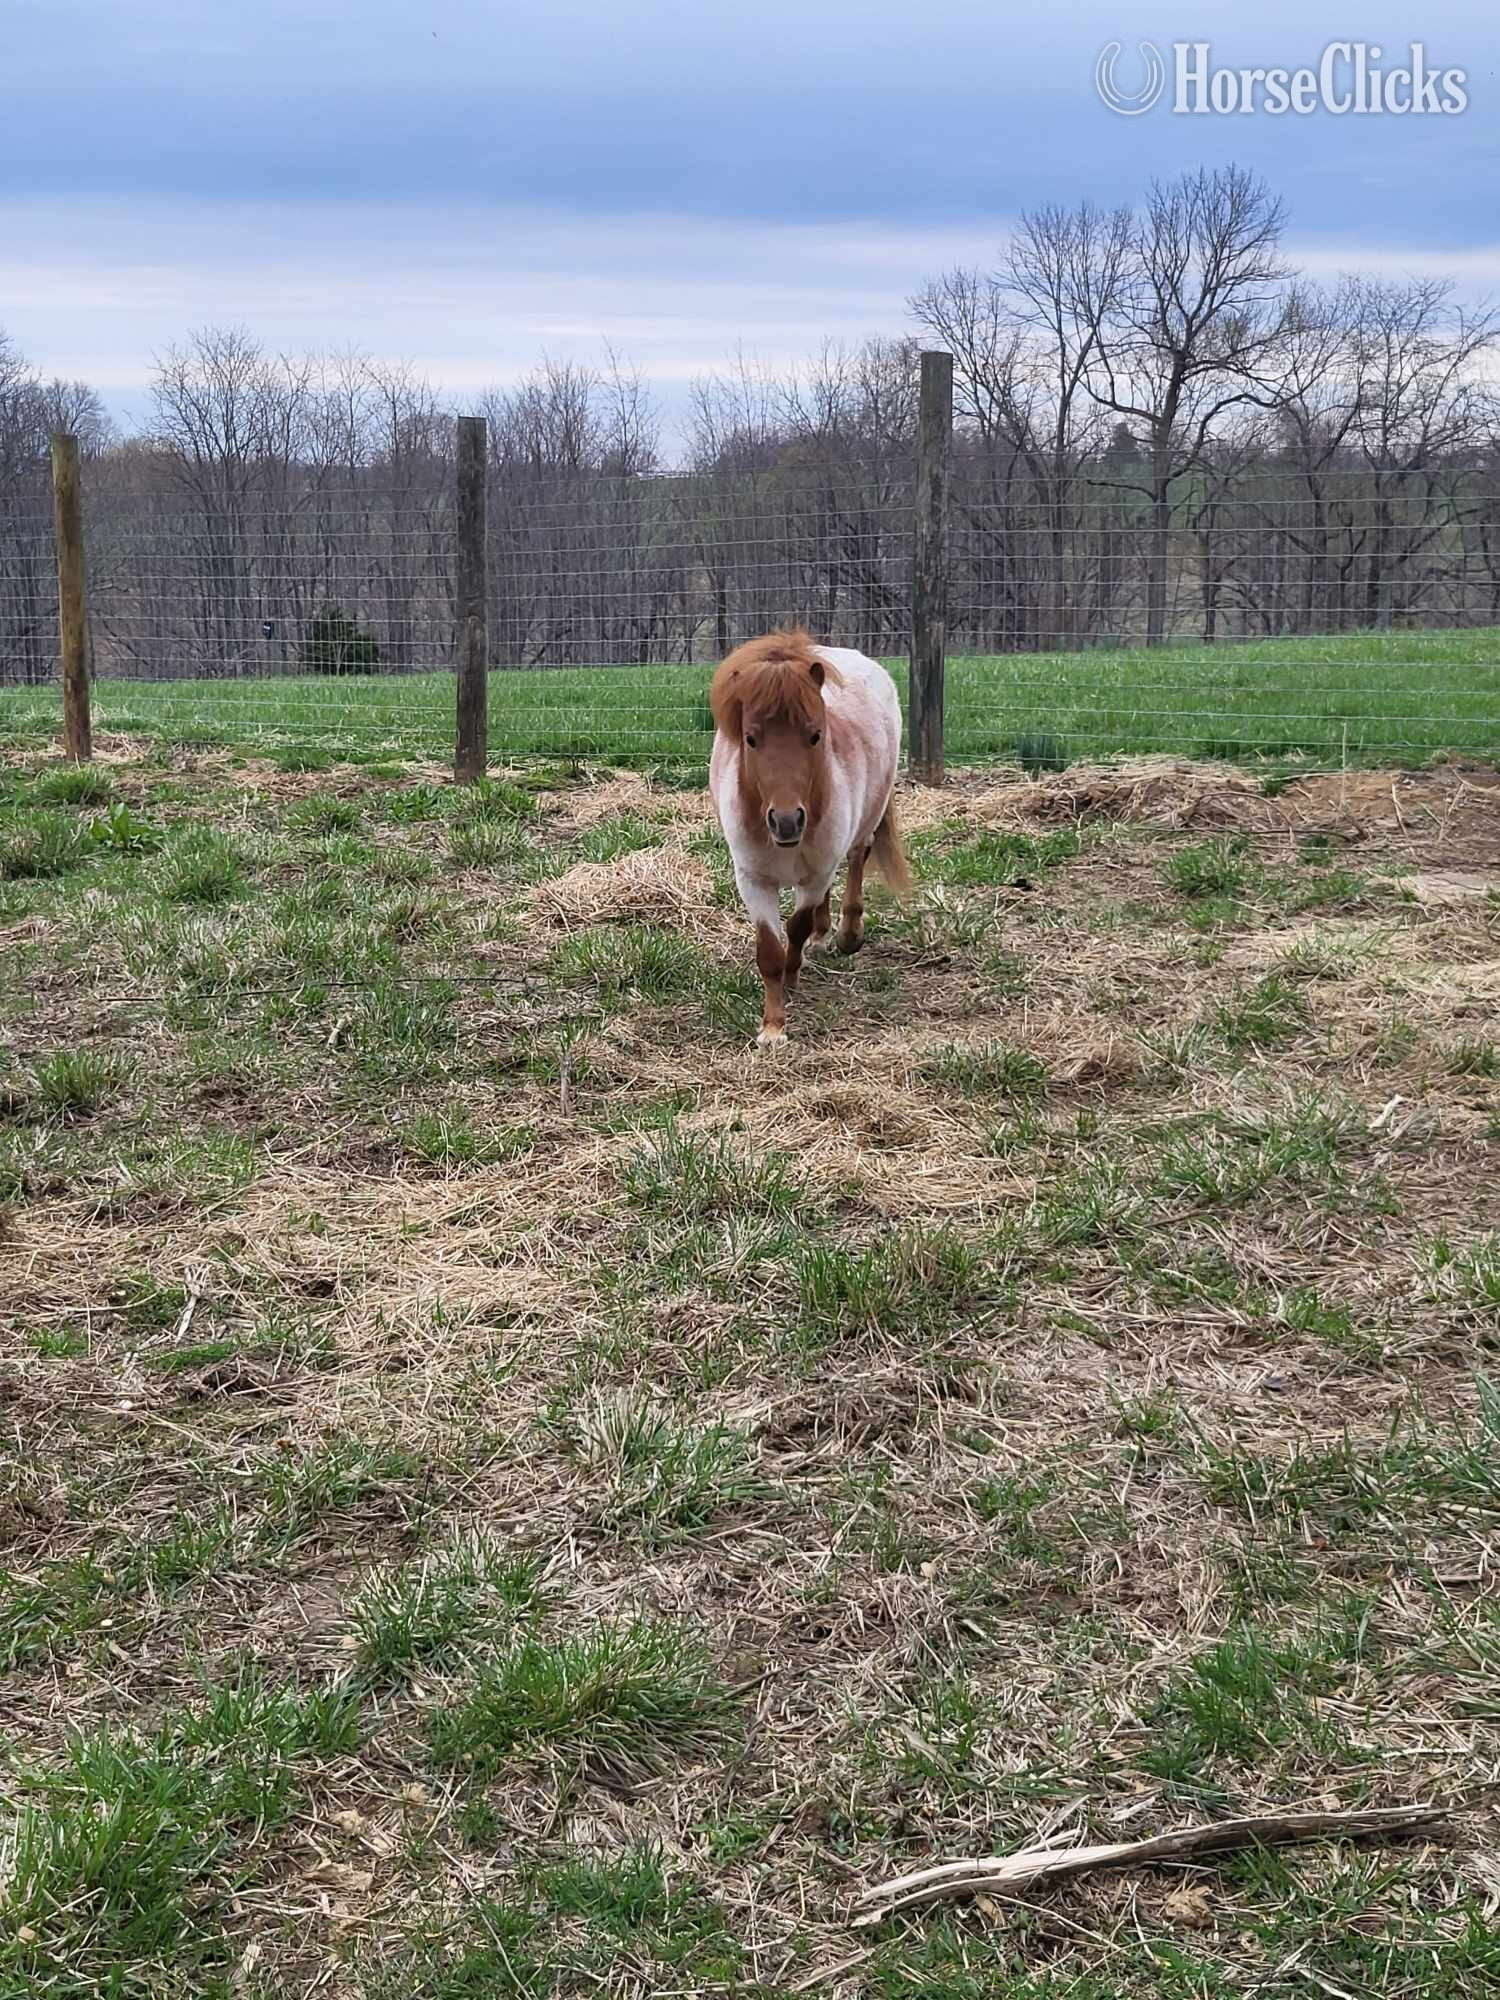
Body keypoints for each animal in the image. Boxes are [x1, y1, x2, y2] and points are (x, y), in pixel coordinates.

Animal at [708, 628, 911, 1045]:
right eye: (750, 739)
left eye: (815, 736)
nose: (787, 822)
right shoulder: (753, 880)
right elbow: (770, 951)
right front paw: (772, 1027)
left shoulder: (816, 873)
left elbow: (795, 929)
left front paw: (792, 979)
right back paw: (823, 936)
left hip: (867, 818)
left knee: (857, 860)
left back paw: (848, 934)